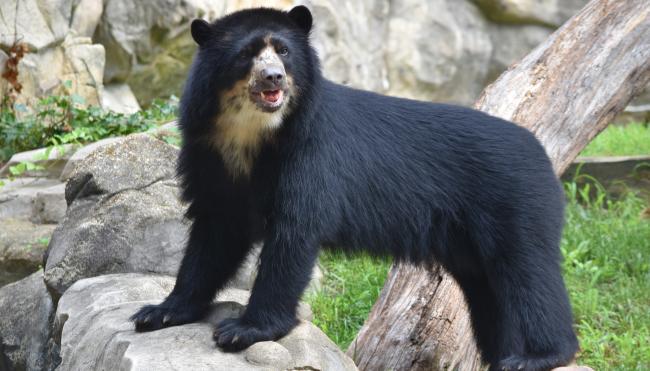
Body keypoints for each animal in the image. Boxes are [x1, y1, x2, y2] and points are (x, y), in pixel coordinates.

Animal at [129, 5, 576, 371]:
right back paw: (504, 355)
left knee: (528, 273)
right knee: (490, 290)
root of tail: (541, 151)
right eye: (247, 53)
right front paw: (159, 312)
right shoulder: (209, 154)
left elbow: (293, 235)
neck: (252, 132)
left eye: (284, 52)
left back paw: (538, 356)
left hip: (514, 203)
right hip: (469, 241)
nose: (274, 77)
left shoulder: (310, 154)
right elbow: (214, 232)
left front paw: (245, 329)